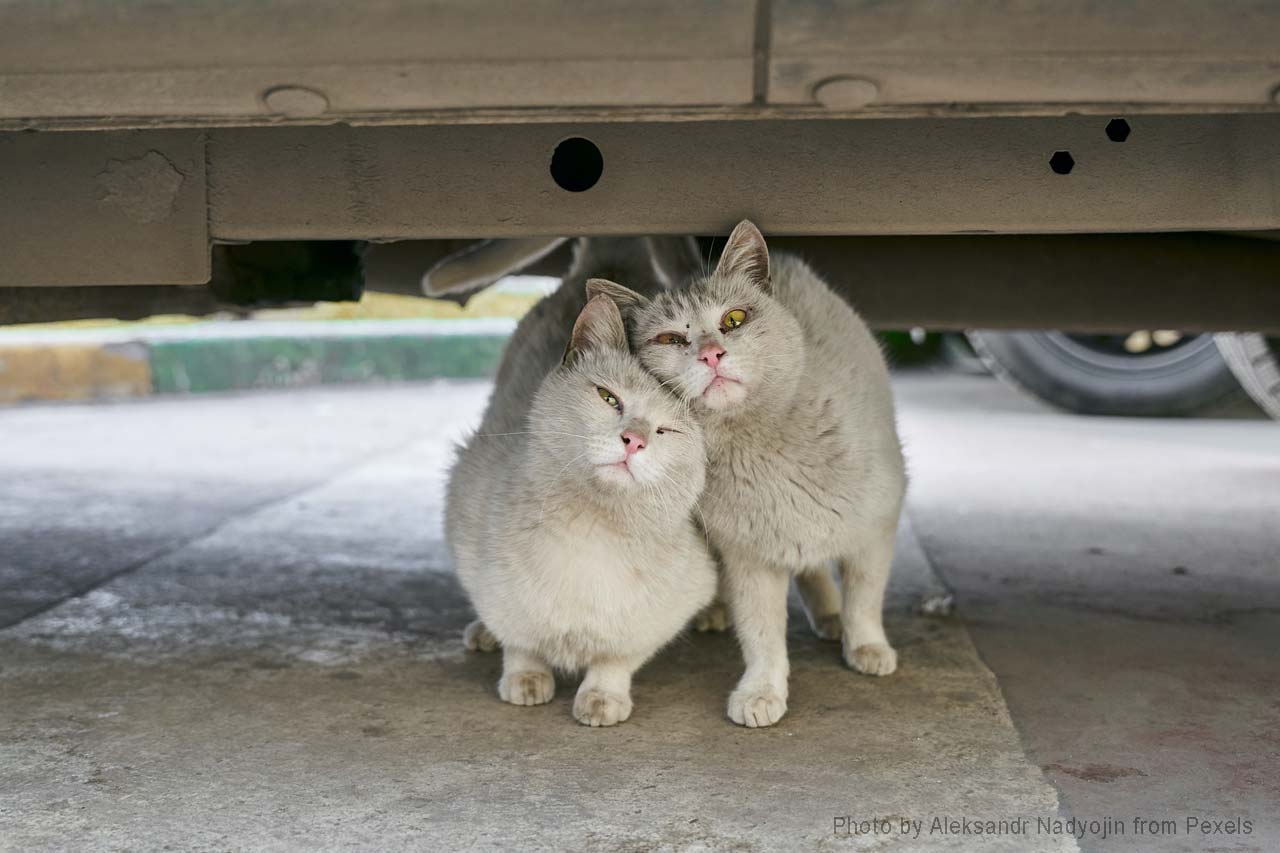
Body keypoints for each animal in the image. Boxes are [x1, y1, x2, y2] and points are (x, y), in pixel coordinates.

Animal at [445, 239, 716, 722]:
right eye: (609, 398)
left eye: (668, 430)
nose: (633, 440)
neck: (592, 531)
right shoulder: (470, 533)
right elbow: (520, 637)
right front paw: (525, 678)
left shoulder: (667, 607)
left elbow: (616, 657)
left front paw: (602, 697)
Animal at [586, 220, 906, 722]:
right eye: (671, 340)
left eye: (734, 320)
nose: (711, 355)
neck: (760, 444)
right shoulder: (749, 559)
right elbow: (761, 634)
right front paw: (762, 691)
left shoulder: (878, 525)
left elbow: (865, 597)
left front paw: (867, 646)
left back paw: (833, 618)